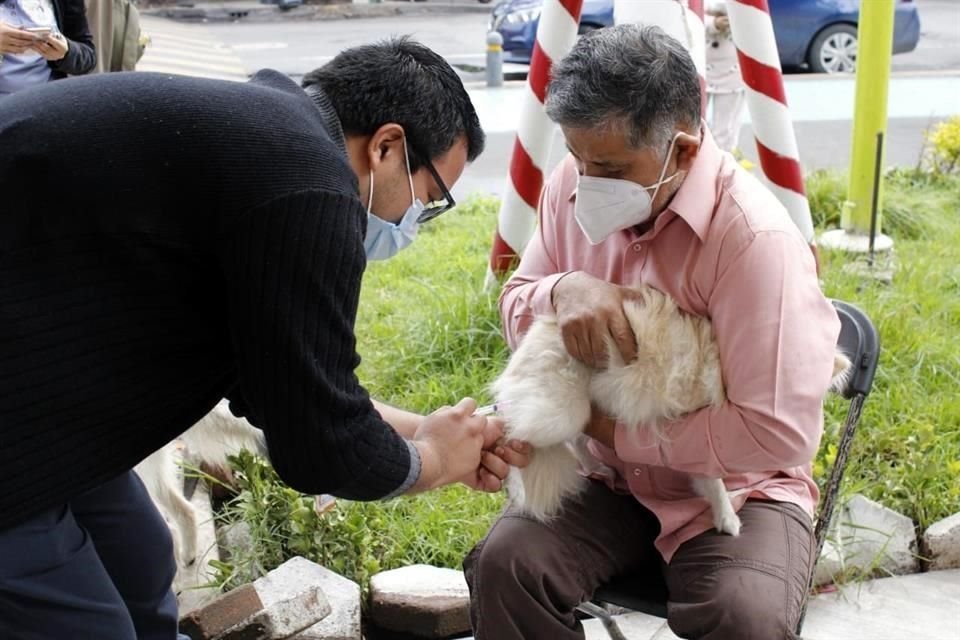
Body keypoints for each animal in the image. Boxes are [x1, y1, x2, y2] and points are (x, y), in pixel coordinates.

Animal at [492, 284, 852, 536]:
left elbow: (709, 479)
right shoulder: (701, 425)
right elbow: (715, 482)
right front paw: (727, 518)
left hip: (581, 411)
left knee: (575, 441)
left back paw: (597, 467)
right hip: (559, 414)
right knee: (513, 432)